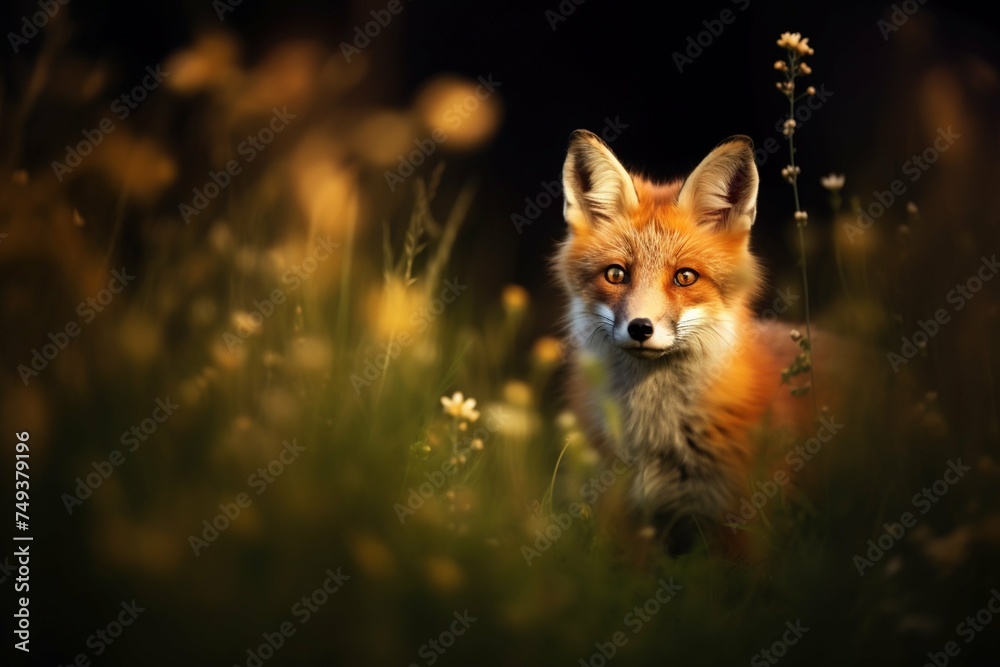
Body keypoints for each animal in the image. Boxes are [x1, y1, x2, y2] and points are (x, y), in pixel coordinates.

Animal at [553, 130, 840, 557]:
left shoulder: (743, 524)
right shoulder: (623, 519)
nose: (640, 328)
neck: (658, 438)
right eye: (616, 274)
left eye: (685, 277)